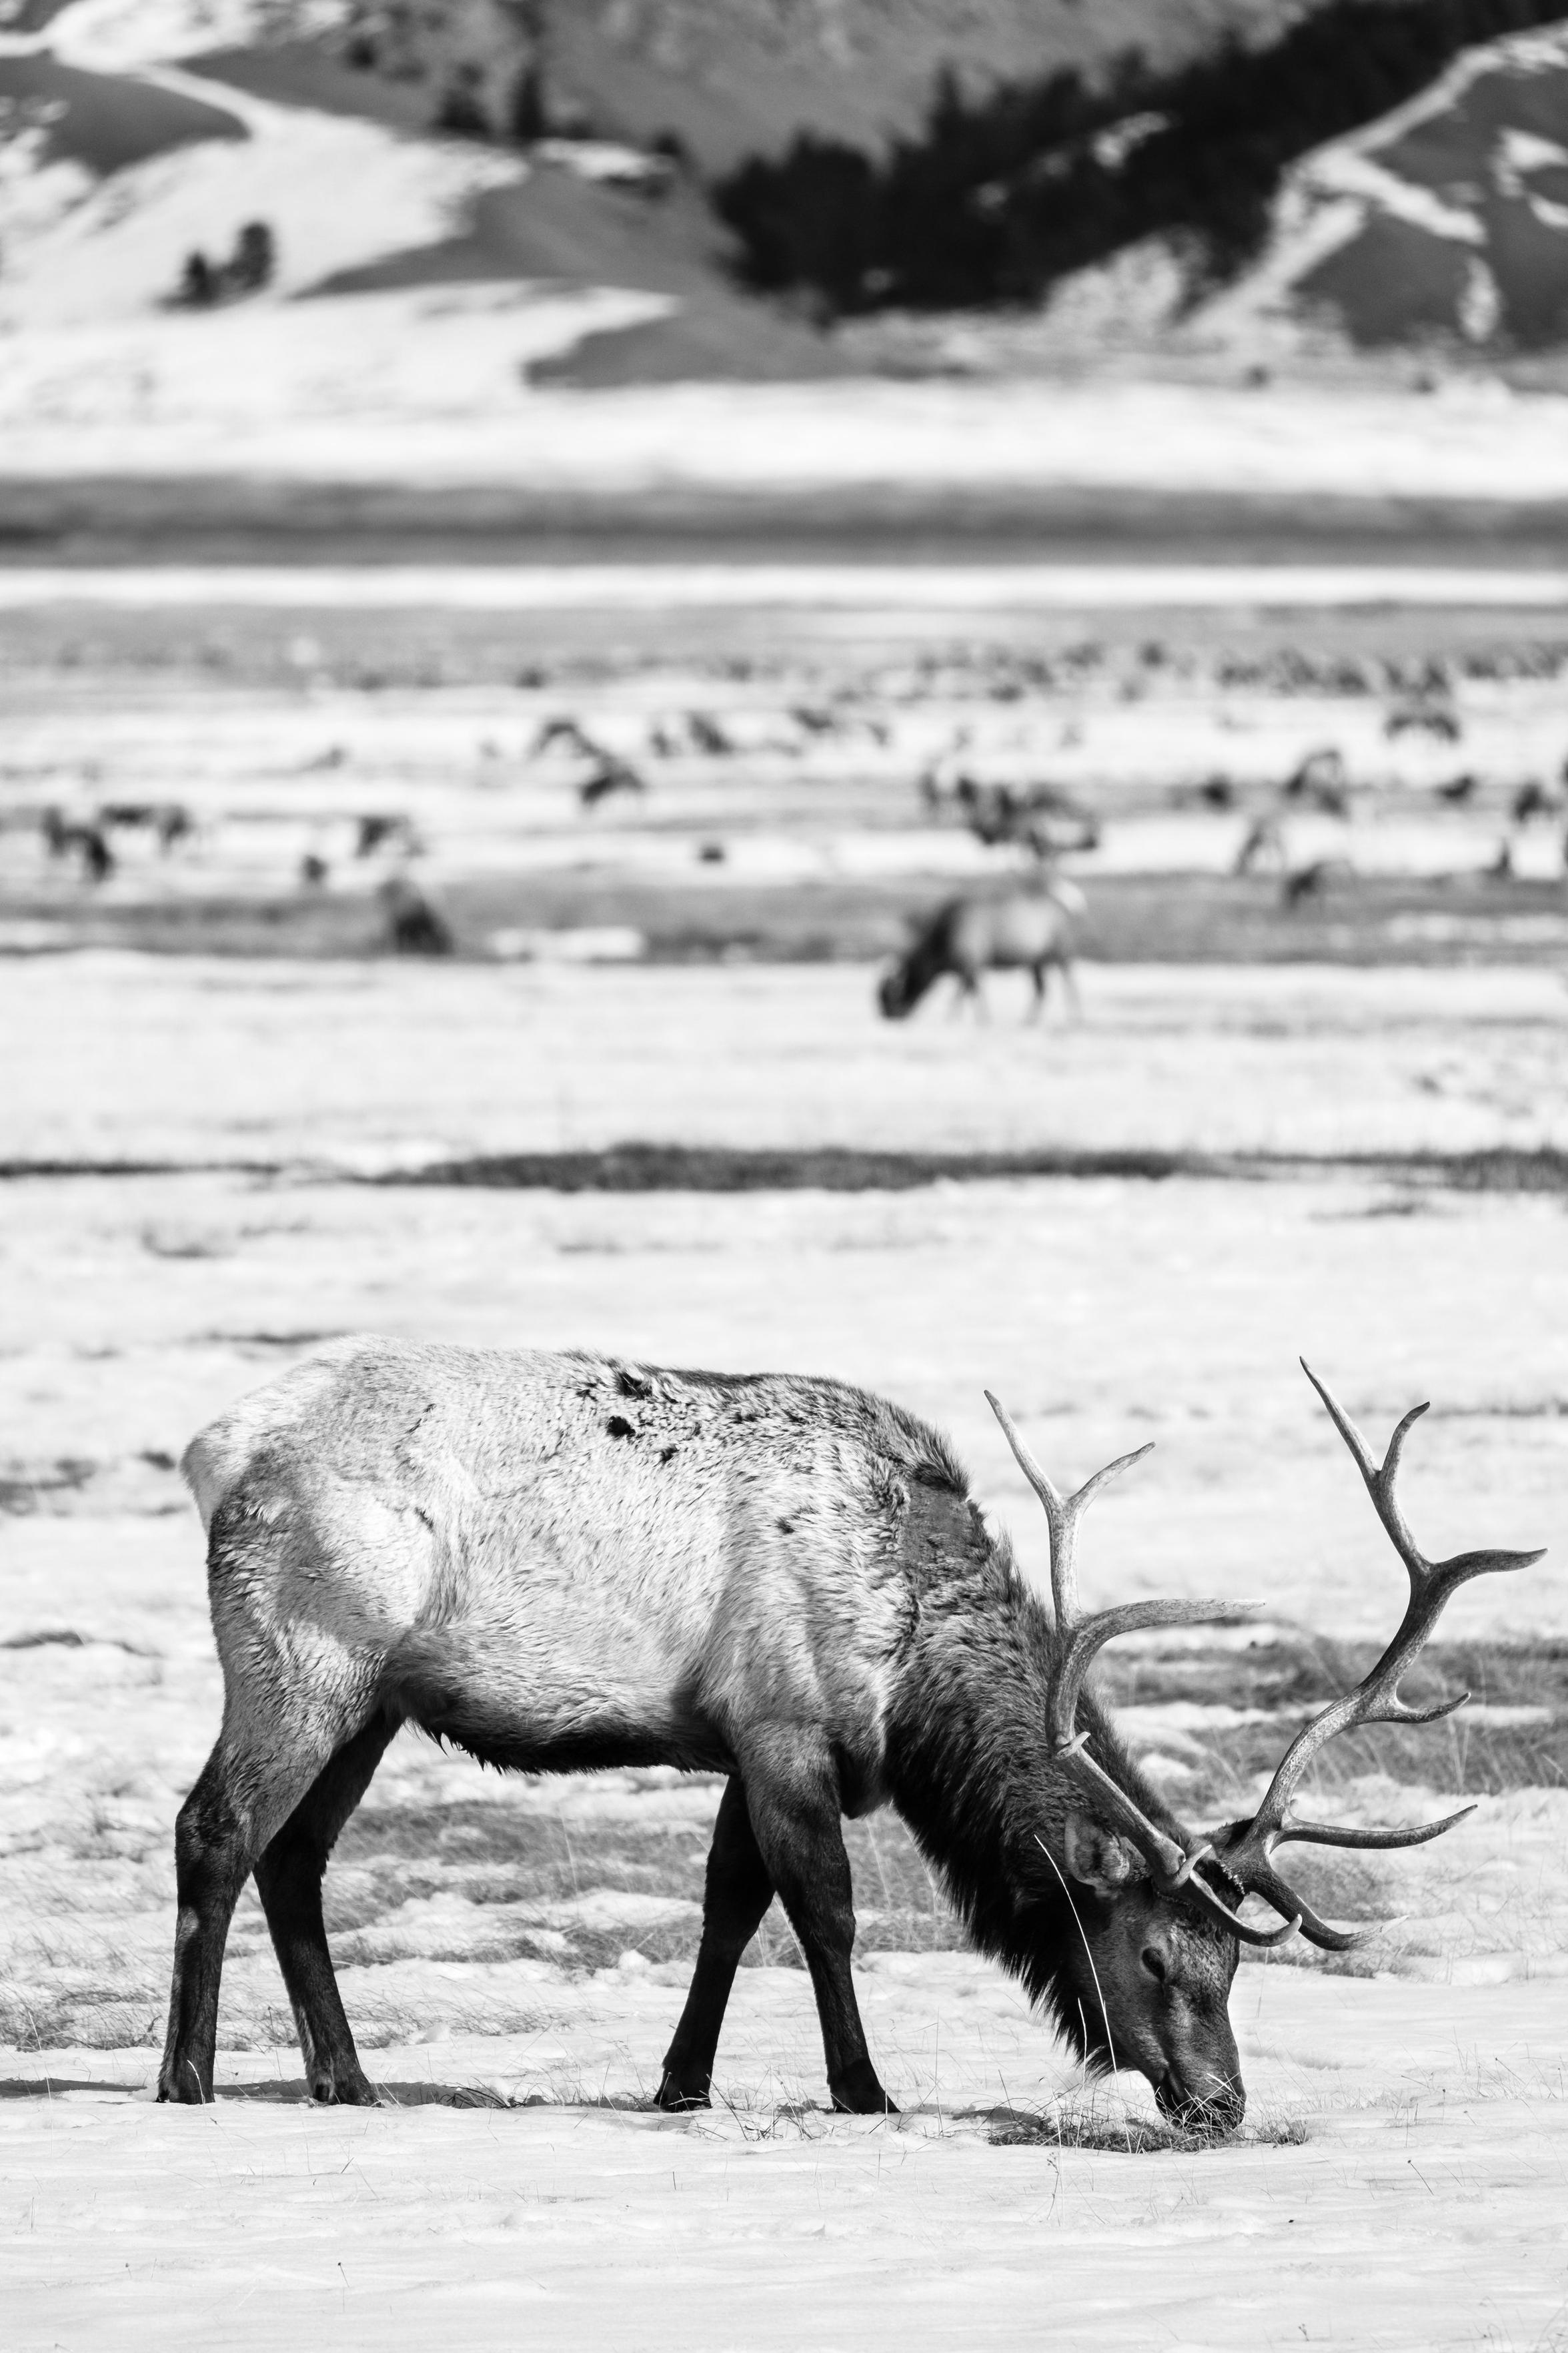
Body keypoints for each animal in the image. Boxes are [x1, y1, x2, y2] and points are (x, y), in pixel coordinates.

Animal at [156, 1346, 1539, 2130]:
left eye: (1233, 1968)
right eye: (1154, 1957)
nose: (1222, 2102)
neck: (911, 1683)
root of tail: (215, 1449)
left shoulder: (747, 1740)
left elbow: (728, 1905)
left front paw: (681, 2081)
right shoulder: (781, 1720)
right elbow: (821, 1908)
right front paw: (863, 2087)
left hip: (376, 1697)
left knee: (297, 1858)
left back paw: (347, 2077)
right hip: (302, 1648)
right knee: (215, 1828)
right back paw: (189, 2076)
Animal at [878, 880, 1087, 1022]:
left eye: (891, 997)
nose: (888, 1017)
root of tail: (1069, 909)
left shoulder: (969, 963)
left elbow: (964, 994)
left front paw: (954, 1019)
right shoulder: (973, 967)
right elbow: (973, 992)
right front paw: (982, 1019)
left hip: (1061, 952)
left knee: (1070, 982)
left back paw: (1075, 1017)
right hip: (1036, 961)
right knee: (1041, 989)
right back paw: (1029, 1021)